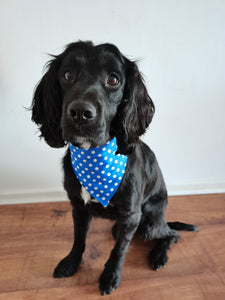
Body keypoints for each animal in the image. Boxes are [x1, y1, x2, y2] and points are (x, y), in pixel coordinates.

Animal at [30, 40, 198, 296]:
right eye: (67, 75)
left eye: (113, 79)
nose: (81, 113)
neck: (93, 156)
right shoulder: (79, 207)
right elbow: (79, 239)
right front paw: (71, 262)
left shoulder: (131, 215)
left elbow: (119, 250)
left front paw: (110, 275)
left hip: (149, 223)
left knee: (172, 234)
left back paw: (159, 256)